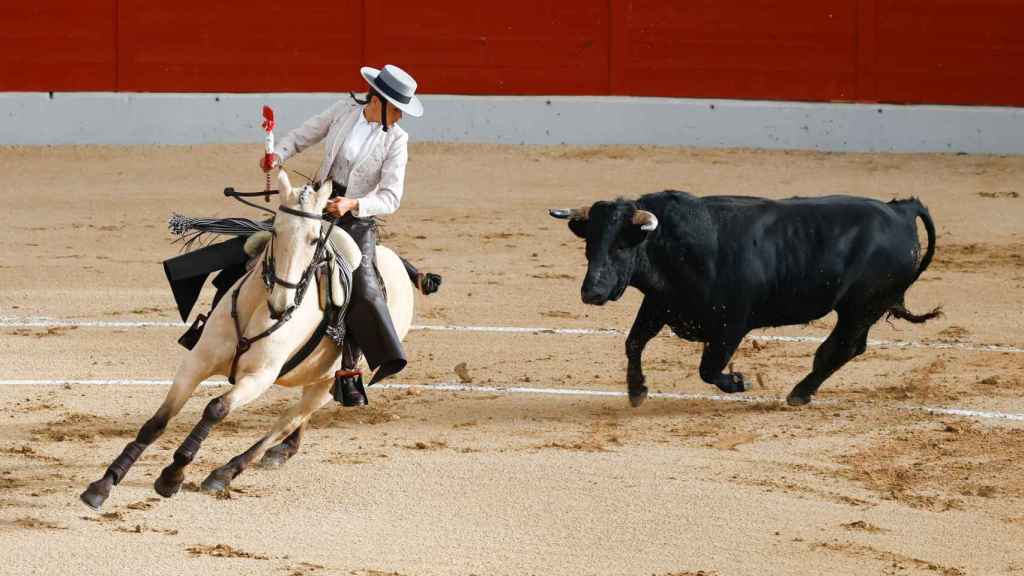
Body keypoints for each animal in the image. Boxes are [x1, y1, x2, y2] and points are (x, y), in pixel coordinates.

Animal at [79, 169, 413, 506]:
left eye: (314, 239)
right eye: (276, 230)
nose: (281, 303)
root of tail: (397, 263)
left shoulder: (259, 377)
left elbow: (216, 408)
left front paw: (172, 476)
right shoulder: (196, 362)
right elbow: (157, 422)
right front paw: (104, 483)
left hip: (327, 382)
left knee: (286, 421)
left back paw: (225, 472)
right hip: (316, 378)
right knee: (294, 420)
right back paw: (282, 452)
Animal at [548, 190, 937, 405]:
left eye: (621, 245)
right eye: (589, 244)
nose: (591, 292)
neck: (680, 246)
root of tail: (900, 210)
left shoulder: (731, 325)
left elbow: (708, 369)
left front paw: (739, 382)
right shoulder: (660, 305)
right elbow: (633, 343)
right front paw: (636, 391)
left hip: (861, 306)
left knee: (841, 347)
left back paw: (799, 393)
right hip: (863, 308)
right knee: (849, 347)